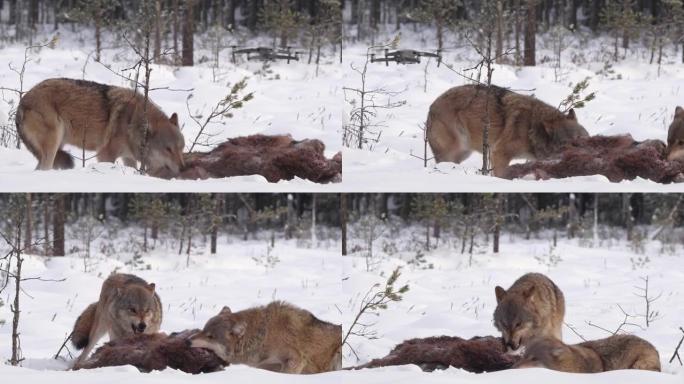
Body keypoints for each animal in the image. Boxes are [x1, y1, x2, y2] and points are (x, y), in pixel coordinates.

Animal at [17, 78, 184, 177]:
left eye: (181, 148)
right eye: (168, 149)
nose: (183, 167)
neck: (132, 122)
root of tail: (23, 101)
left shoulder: (128, 158)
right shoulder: (105, 154)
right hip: (52, 147)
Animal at [428, 85, 588, 176]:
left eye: (582, 139)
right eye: (567, 144)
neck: (530, 129)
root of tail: (432, 105)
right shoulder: (499, 153)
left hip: (463, 153)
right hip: (452, 150)